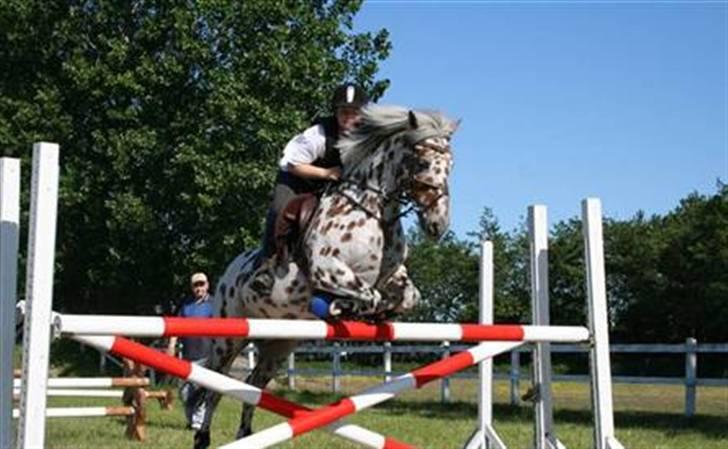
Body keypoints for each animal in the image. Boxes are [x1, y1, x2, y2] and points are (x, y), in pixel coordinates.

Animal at [193, 104, 456, 448]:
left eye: (451, 165)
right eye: (423, 162)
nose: (438, 226)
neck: (373, 212)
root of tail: (227, 272)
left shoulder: (393, 275)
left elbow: (408, 295)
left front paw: (378, 313)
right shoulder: (327, 269)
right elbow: (366, 294)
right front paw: (337, 307)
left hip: (280, 345)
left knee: (254, 383)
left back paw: (245, 434)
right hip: (228, 336)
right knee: (214, 386)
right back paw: (202, 437)